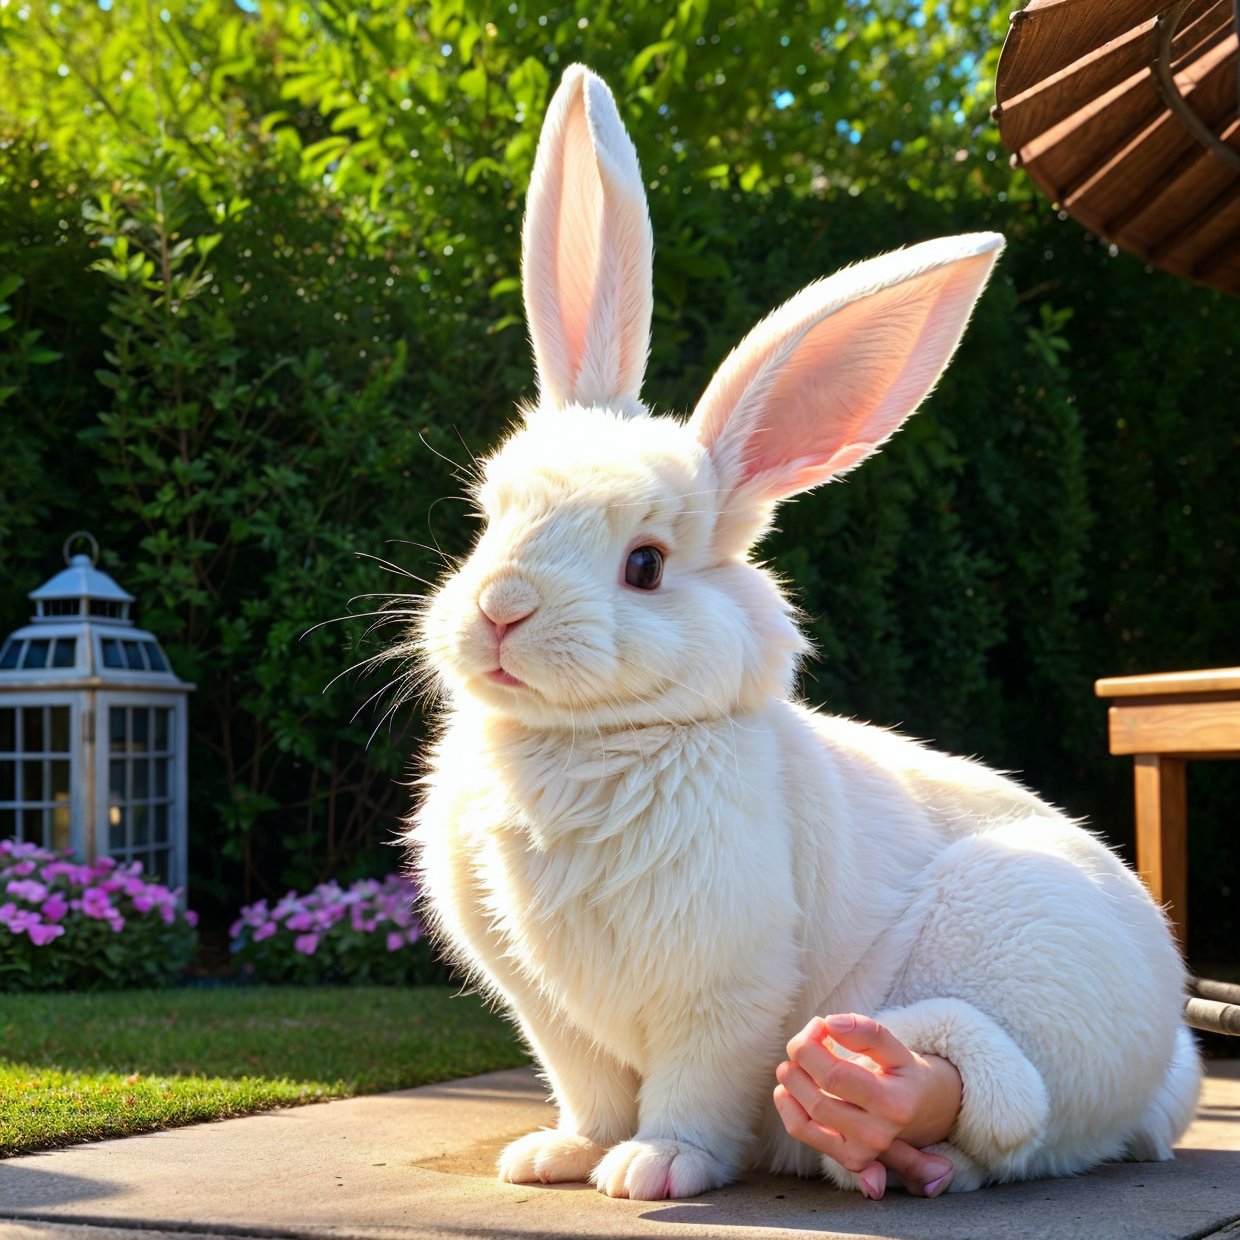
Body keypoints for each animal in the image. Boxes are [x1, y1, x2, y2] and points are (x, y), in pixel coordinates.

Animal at [406, 65, 1200, 1200]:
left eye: (645, 565)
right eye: (489, 516)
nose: (501, 607)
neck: (586, 742)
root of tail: (1169, 1050)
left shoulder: (727, 988)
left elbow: (696, 1083)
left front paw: (654, 1167)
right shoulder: (553, 1014)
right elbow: (587, 1088)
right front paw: (559, 1155)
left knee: (1007, 1118)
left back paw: (877, 1108)